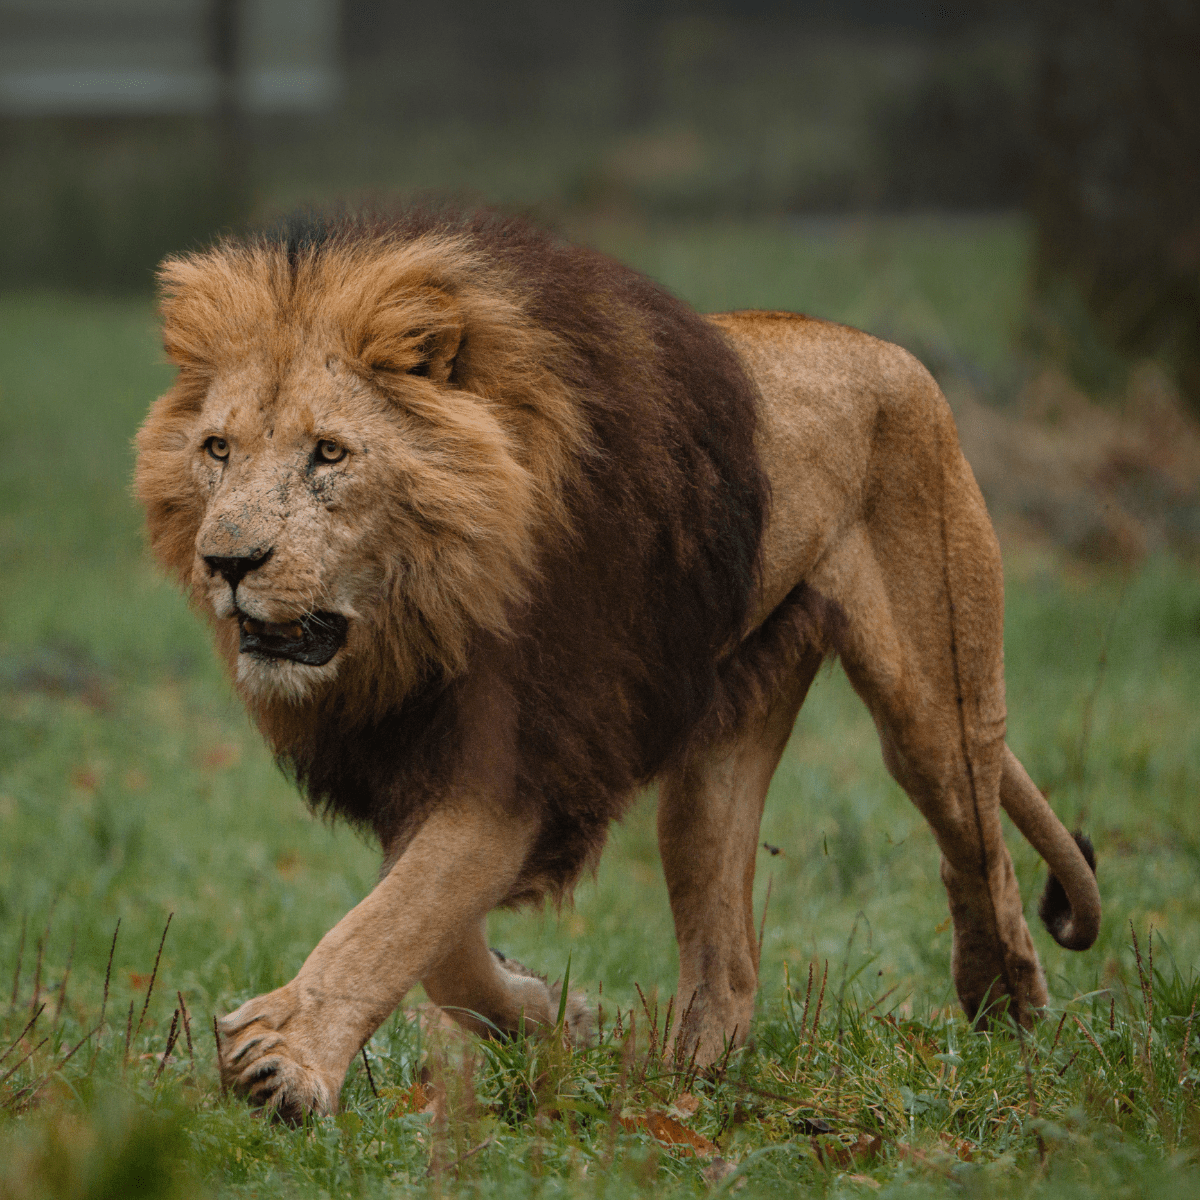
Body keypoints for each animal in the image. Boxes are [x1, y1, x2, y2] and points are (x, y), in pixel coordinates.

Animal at [135, 207, 1100, 1121]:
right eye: (218, 449)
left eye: (329, 453)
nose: (226, 563)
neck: (428, 610)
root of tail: (885, 348)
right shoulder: (417, 750)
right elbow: (434, 935)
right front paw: (549, 1015)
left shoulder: (535, 748)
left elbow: (403, 913)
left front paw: (281, 1066)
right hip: (720, 745)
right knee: (728, 951)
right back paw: (686, 1088)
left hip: (937, 693)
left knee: (974, 843)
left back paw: (1005, 1009)